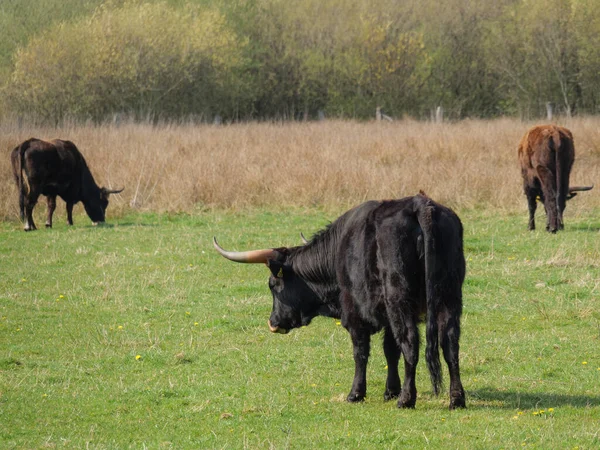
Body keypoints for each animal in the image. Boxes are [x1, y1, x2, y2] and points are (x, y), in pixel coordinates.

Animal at [216, 193, 468, 412]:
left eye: (272, 284)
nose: (273, 323)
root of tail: (420, 205)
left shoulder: (355, 315)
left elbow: (361, 352)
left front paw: (356, 393)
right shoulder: (387, 316)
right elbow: (390, 350)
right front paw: (390, 391)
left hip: (400, 299)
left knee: (410, 342)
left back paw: (407, 399)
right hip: (450, 296)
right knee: (450, 344)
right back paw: (456, 399)